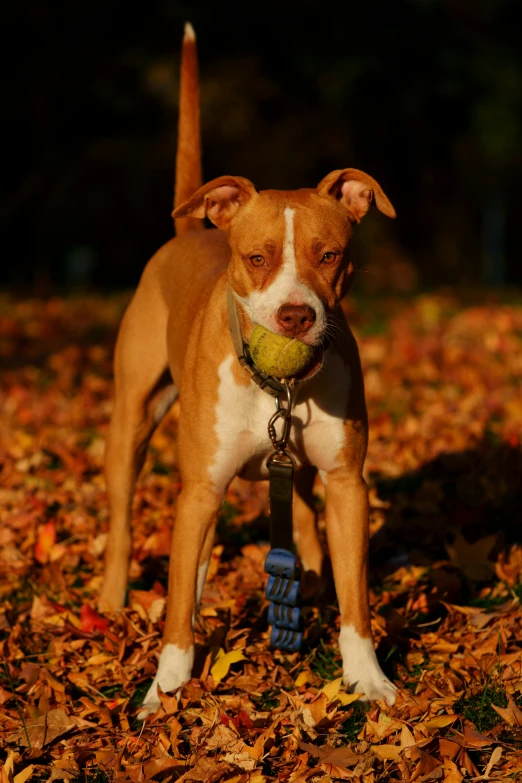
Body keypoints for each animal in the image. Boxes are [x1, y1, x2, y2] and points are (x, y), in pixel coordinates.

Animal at [98, 21, 394, 716]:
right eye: (257, 257)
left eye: (330, 254)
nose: (295, 315)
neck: (279, 385)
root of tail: (187, 232)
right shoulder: (200, 490)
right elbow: (178, 605)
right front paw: (165, 692)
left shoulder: (348, 482)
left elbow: (357, 597)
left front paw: (367, 680)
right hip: (133, 421)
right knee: (131, 522)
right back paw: (113, 599)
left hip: (304, 474)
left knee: (303, 524)